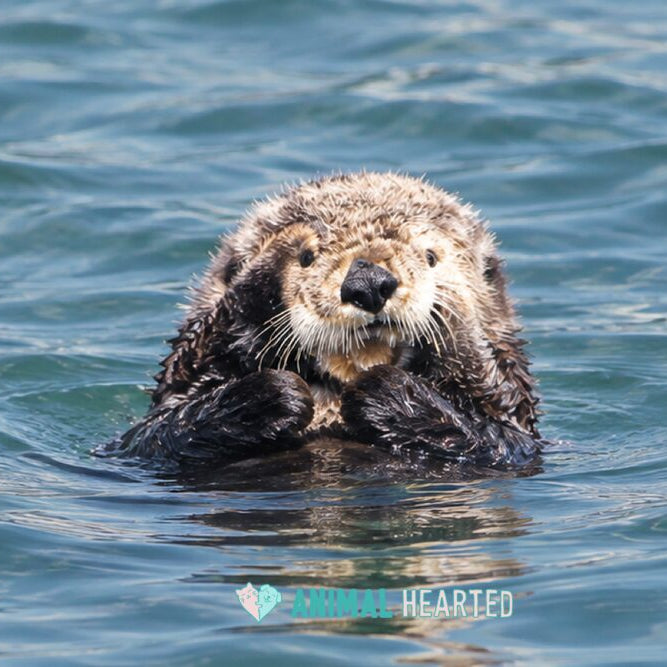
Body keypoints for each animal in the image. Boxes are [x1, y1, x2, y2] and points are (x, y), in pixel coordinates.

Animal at [103, 172, 543, 470]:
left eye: (431, 257)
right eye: (308, 258)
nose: (368, 282)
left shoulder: (517, 436)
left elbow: (498, 430)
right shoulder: (153, 431)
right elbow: (161, 427)